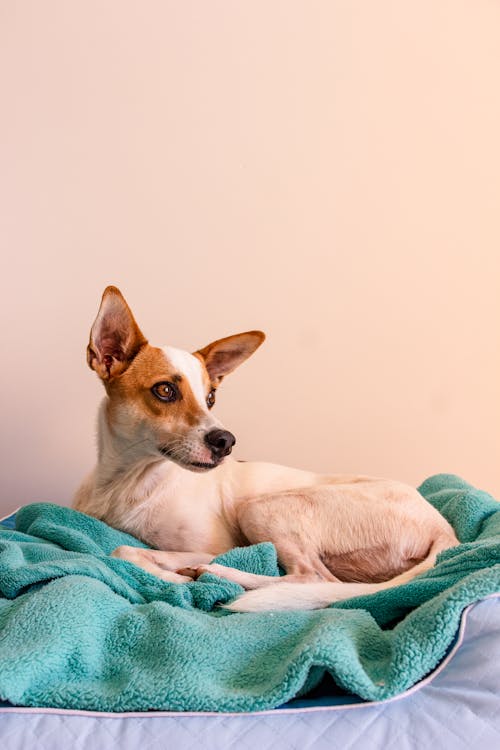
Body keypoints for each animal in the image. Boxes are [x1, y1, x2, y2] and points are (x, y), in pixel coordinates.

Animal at [72, 286, 458, 612]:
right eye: (165, 390)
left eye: (211, 398)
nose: (226, 441)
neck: (130, 482)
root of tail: (443, 529)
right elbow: (123, 546)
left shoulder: (215, 546)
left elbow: (125, 549)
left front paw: (174, 575)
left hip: (262, 507)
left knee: (312, 578)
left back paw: (220, 575)